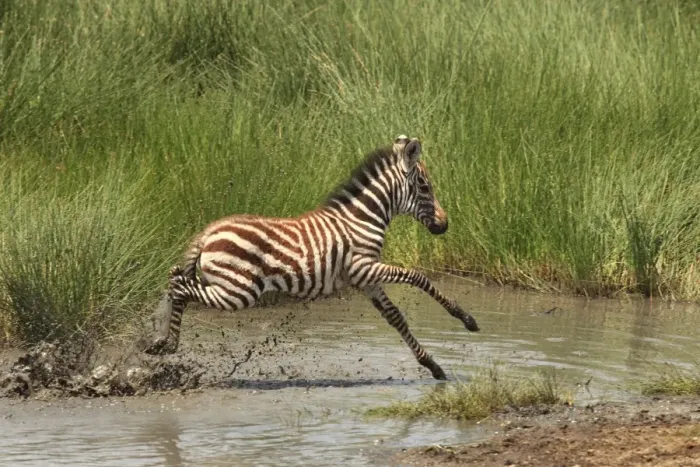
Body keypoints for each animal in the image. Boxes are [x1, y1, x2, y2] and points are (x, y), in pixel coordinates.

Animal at [144, 135, 480, 380]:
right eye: (424, 186)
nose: (444, 225)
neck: (363, 218)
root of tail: (209, 231)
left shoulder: (366, 278)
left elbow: (395, 317)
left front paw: (433, 366)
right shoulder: (364, 266)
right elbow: (418, 277)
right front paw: (466, 318)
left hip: (227, 285)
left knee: (176, 277)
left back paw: (160, 342)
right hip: (238, 289)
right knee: (180, 286)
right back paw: (168, 343)